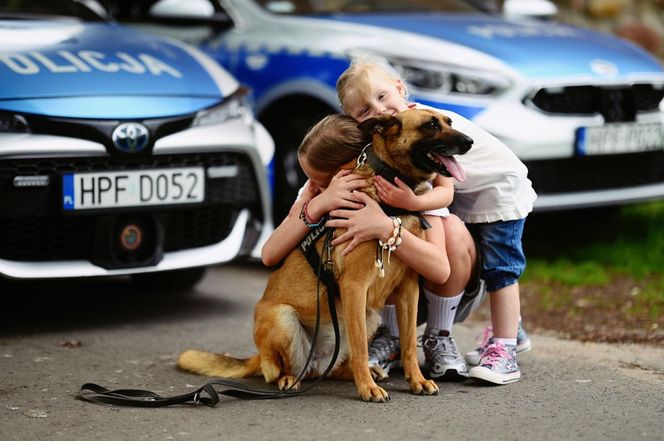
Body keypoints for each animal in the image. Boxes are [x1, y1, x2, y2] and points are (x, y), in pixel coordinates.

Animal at [176, 107, 472, 402]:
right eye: (431, 125)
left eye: (449, 121)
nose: (470, 142)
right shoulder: (355, 286)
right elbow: (362, 350)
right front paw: (367, 389)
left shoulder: (408, 290)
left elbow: (409, 343)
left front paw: (416, 380)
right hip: (284, 317)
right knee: (283, 370)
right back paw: (291, 379)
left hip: (368, 317)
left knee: (333, 368)